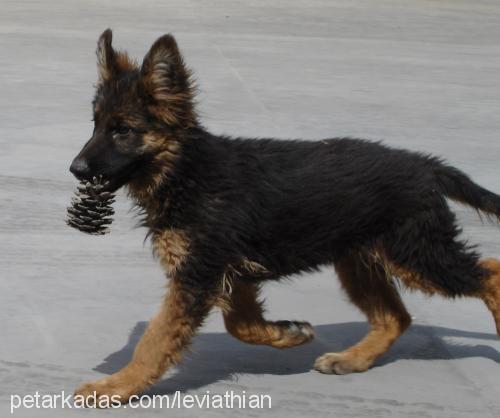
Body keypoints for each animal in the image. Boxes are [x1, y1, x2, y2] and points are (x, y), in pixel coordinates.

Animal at [70, 28, 500, 402]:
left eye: (123, 130)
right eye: (95, 124)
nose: (75, 169)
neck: (186, 171)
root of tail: (426, 166)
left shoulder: (198, 274)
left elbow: (155, 339)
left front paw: (116, 386)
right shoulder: (230, 272)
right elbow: (240, 325)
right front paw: (288, 333)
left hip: (417, 253)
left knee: (490, 273)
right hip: (359, 259)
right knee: (395, 317)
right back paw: (350, 359)